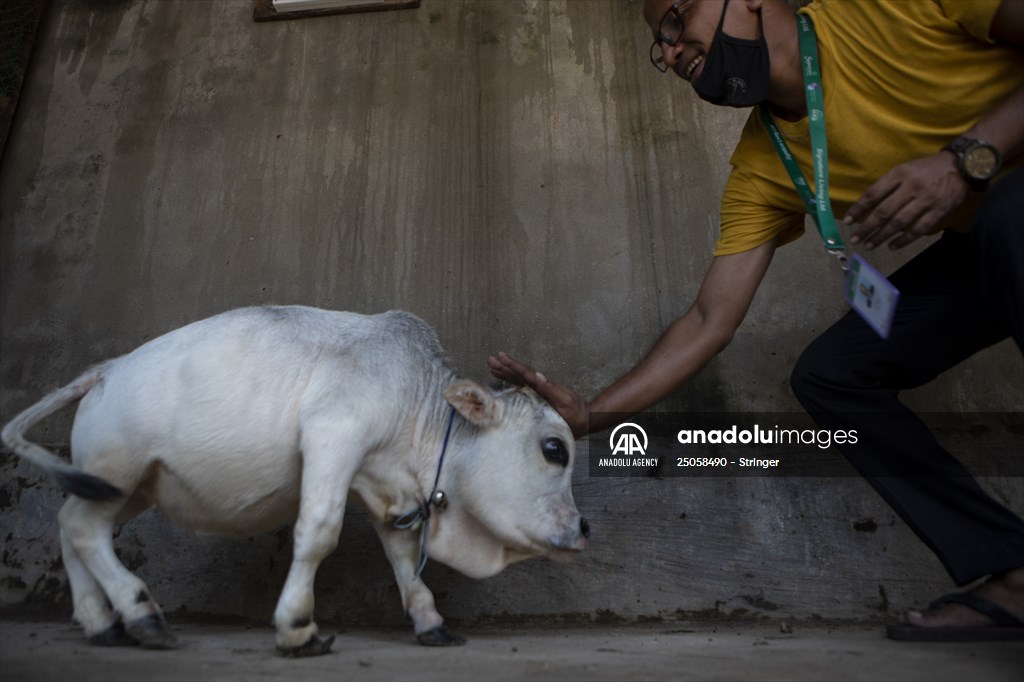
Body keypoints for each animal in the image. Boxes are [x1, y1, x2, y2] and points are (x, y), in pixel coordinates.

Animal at [1, 306, 589, 657]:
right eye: (554, 449)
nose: (584, 527)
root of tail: (104, 369)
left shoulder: (386, 489)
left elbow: (402, 557)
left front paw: (430, 622)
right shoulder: (334, 437)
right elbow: (318, 532)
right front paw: (297, 626)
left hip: (125, 487)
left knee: (70, 526)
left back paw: (99, 619)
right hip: (116, 471)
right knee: (82, 531)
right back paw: (139, 612)